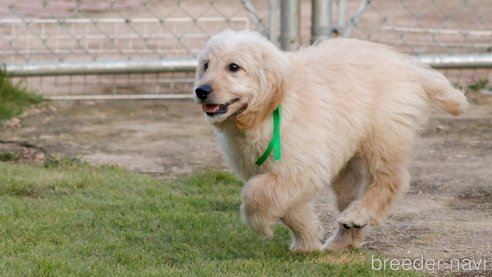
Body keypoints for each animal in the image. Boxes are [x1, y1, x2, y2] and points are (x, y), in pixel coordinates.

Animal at [192, 29, 466, 251]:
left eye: (234, 67)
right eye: (206, 65)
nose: (201, 91)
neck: (271, 105)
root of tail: (407, 65)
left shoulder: (301, 168)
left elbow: (254, 194)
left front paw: (261, 226)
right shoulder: (281, 174)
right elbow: (288, 208)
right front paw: (307, 241)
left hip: (383, 138)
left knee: (390, 181)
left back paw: (359, 214)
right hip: (348, 167)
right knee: (353, 195)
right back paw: (344, 241)